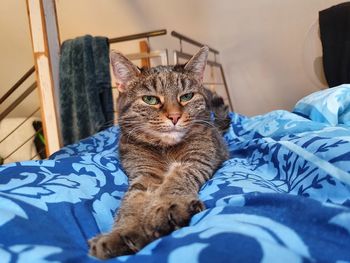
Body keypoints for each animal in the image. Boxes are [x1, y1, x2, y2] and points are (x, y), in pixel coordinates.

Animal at [87, 46, 230, 260]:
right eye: (150, 99)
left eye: (186, 96)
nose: (175, 116)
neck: (166, 149)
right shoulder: (144, 174)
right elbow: (132, 201)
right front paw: (121, 233)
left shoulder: (196, 161)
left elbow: (176, 181)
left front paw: (167, 207)